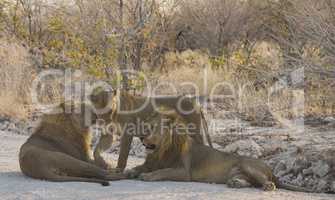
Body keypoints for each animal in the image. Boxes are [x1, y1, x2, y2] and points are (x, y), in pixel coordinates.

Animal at [129, 110, 316, 193]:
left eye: (154, 128)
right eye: (147, 125)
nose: (142, 137)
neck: (161, 151)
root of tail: (271, 169)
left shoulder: (183, 171)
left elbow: (162, 171)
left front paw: (146, 176)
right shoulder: (152, 163)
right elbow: (140, 167)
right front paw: (131, 171)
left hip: (247, 165)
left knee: (267, 182)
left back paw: (267, 186)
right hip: (236, 173)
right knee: (249, 182)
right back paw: (236, 183)